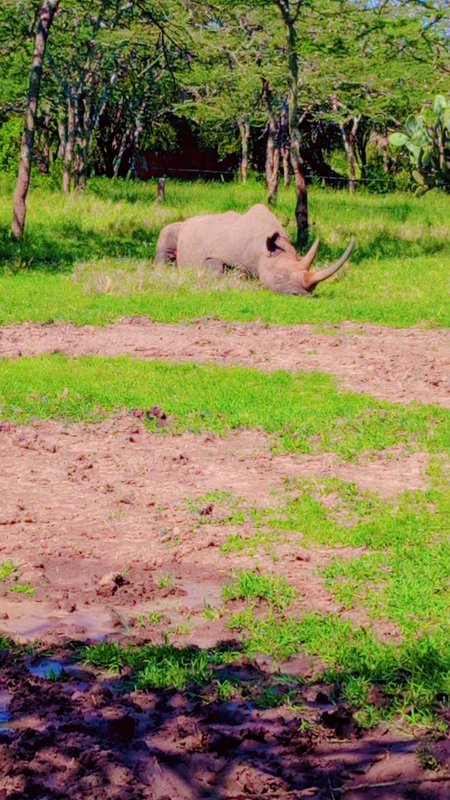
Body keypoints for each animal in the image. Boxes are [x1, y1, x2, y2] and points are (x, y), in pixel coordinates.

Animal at [155, 203, 354, 295]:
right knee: (168, 231)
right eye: (280, 277)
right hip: (182, 227)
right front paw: (238, 279)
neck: (262, 251)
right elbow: (217, 269)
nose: (302, 295)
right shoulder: (214, 255)